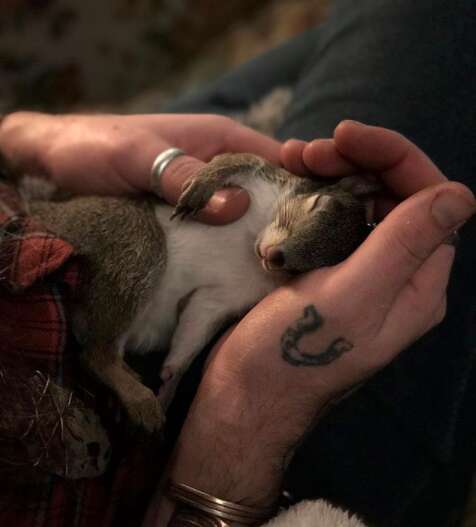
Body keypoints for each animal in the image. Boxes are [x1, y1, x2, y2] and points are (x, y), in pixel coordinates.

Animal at [25, 154, 380, 438]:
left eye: (312, 267)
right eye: (321, 203)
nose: (276, 256)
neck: (252, 246)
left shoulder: (222, 300)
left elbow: (192, 333)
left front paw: (170, 382)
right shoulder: (261, 175)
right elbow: (232, 161)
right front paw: (201, 185)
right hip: (133, 239)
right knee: (95, 354)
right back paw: (139, 400)